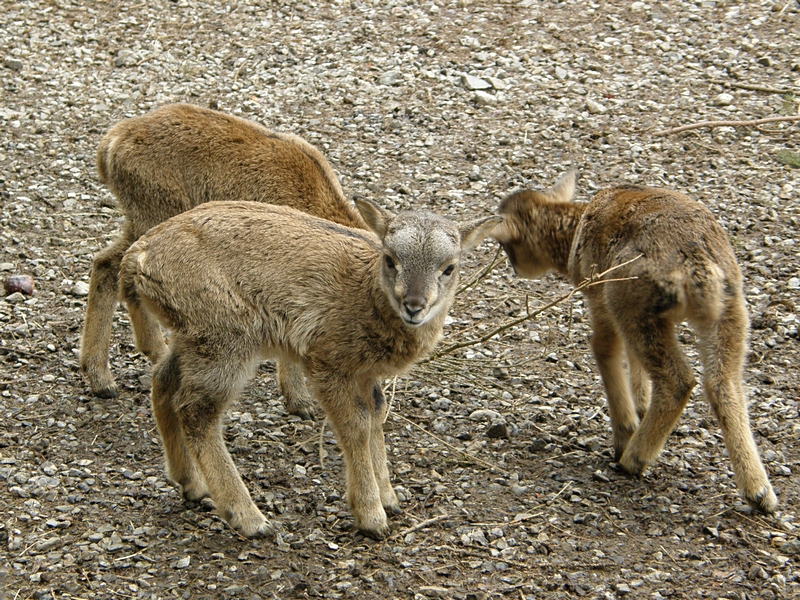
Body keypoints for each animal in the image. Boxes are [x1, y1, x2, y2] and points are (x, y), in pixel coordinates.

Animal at [78, 103, 366, 420]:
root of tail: (114, 141)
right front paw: (300, 401)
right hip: (153, 215)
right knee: (115, 267)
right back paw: (113, 372)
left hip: (139, 219)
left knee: (107, 264)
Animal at [119, 199, 500, 536]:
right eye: (390, 259)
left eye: (449, 268)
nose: (414, 305)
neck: (366, 295)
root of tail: (139, 255)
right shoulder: (328, 362)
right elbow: (356, 426)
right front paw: (371, 514)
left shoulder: (365, 373)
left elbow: (377, 415)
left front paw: (389, 497)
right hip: (223, 335)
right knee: (196, 411)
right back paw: (248, 517)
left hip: (192, 334)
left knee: (163, 381)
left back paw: (192, 484)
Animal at [490, 170, 780, 516]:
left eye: (508, 246)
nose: (514, 267)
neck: (573, 232)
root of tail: (698, 266)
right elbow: (633, 361)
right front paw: (640, 403)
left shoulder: (600, 298)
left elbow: (604, 349)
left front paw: (625, 430)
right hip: (727, 311)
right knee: (724, 385)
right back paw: (760, 492)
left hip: (630, 299)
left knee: (679, 380)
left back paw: (633, 459)